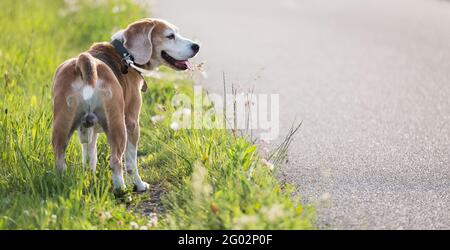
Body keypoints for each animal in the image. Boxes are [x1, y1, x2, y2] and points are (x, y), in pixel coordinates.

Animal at [51, 18, 200, 192]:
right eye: (170, 36)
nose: (196, 46)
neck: (124, 54)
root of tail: (85, 62)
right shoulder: (132, 122)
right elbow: (131, 162)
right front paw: (139, 185)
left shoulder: (90, 130)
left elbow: (90, 158)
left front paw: (90, 178)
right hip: (118, 126)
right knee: (116, 160)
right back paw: (121, 189)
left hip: (62, 126)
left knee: (59, 161)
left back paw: (60, 183)